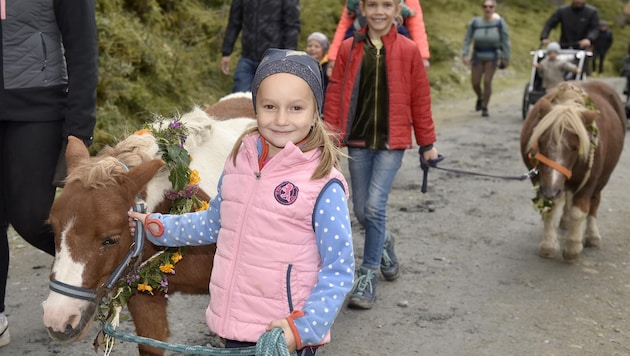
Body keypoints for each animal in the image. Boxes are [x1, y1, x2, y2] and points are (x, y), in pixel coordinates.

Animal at [524, 82, 628, 262]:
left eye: (574, 147)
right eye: (541, 142)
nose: (551, 190)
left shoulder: (589, 182)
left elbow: (579, 212)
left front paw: (573, 246)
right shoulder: (540, 181)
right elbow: (550, 208)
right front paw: (549, 244)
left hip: (602, 179)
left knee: (594, 202)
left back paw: (592, 235)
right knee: (566, 197)